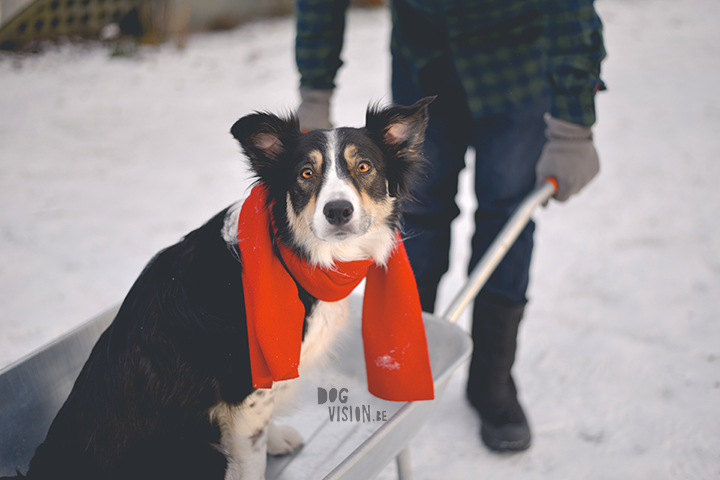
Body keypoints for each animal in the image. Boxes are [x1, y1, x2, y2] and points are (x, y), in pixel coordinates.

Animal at [16, 97, 430, 480]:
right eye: (306, 173)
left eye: (364, 167)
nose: (338, 211)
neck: (298, 255)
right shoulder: (243, 393)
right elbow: (251, 459)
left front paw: (275, 438)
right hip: (201, 453)